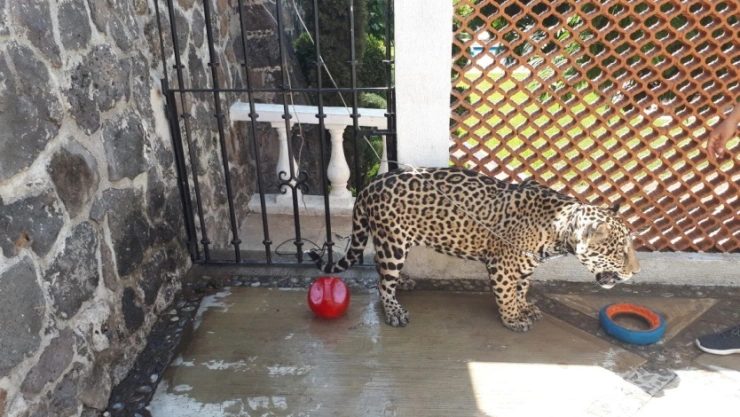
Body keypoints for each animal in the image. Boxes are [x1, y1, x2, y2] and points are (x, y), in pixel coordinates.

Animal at [308, 167, 640, 332]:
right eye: (620, 252)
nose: (636, 272)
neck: (559, 228)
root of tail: (370, 183)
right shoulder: (503, 266)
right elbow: (506, 295)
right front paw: (512, 319)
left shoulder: (525, 266)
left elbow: (522, 289)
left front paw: (524, 307)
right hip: (393, 243)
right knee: (382, 283)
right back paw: (394, 310)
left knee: (380, 268)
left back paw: (405, 282)